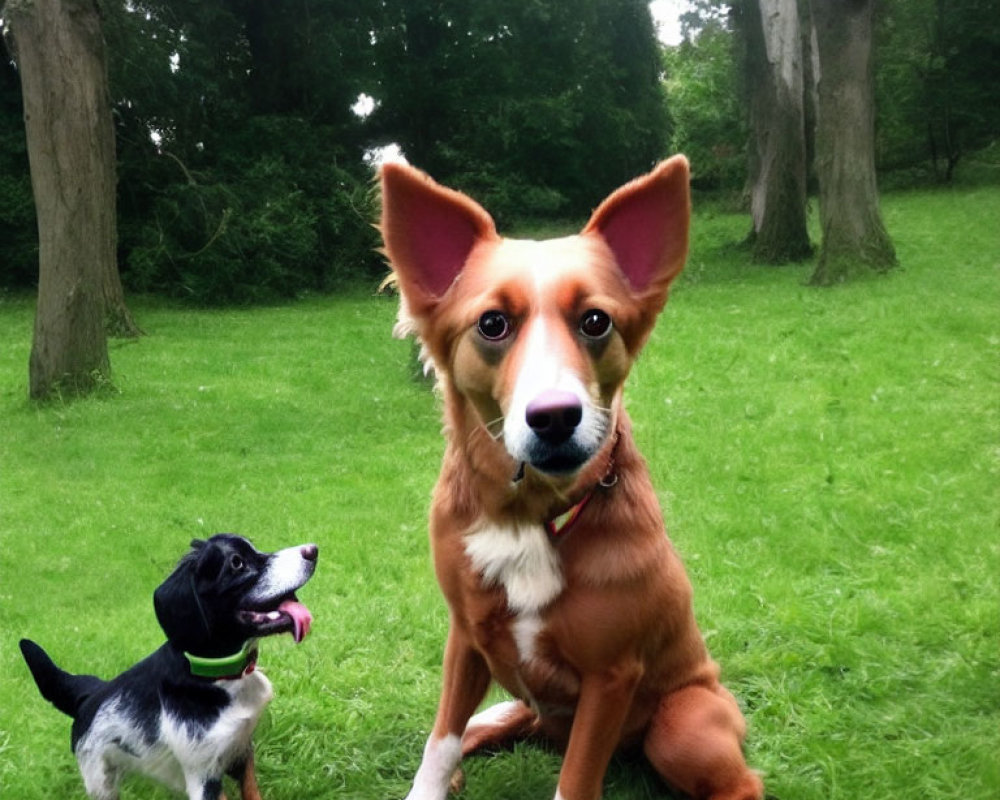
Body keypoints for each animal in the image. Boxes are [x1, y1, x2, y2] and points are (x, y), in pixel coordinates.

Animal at [20, 532, 316, 800]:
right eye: (237, 563)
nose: (313, 549)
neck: (218, 678)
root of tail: (88, 697)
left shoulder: (242, 751)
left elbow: (252, 792)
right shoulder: (203, 778)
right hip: (100, 781)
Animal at [378, 156, 760, 800]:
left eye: (596, 320)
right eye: (492, 323)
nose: (555, 416)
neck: (527, 515)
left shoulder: (611, 677)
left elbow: (577, 779)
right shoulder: (465, 638)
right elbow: (439, 741)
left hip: (683, 727)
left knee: (739, 781)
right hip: (516, 710)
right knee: (477, 735)